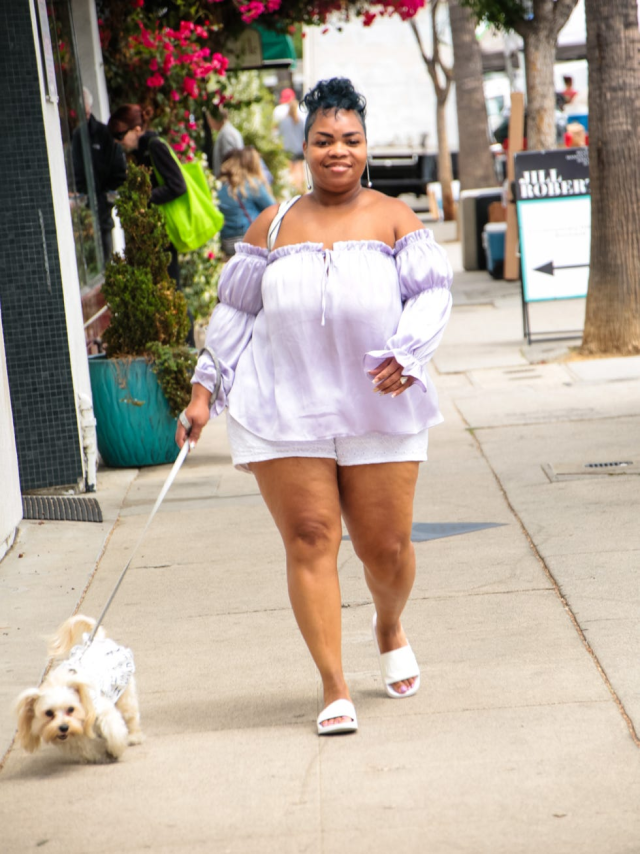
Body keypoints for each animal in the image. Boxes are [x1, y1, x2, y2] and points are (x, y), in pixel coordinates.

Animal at [15, 620, 144, 764]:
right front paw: (97, 756)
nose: (63, 727)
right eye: (48, 713)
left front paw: (115, 750)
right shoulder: (73, 738)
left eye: (71, 709)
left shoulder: (102, 711)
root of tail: (97, 640)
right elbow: (84, 746)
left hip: (125, 696)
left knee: (130, 716)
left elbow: (113, 731)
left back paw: (133, 736)